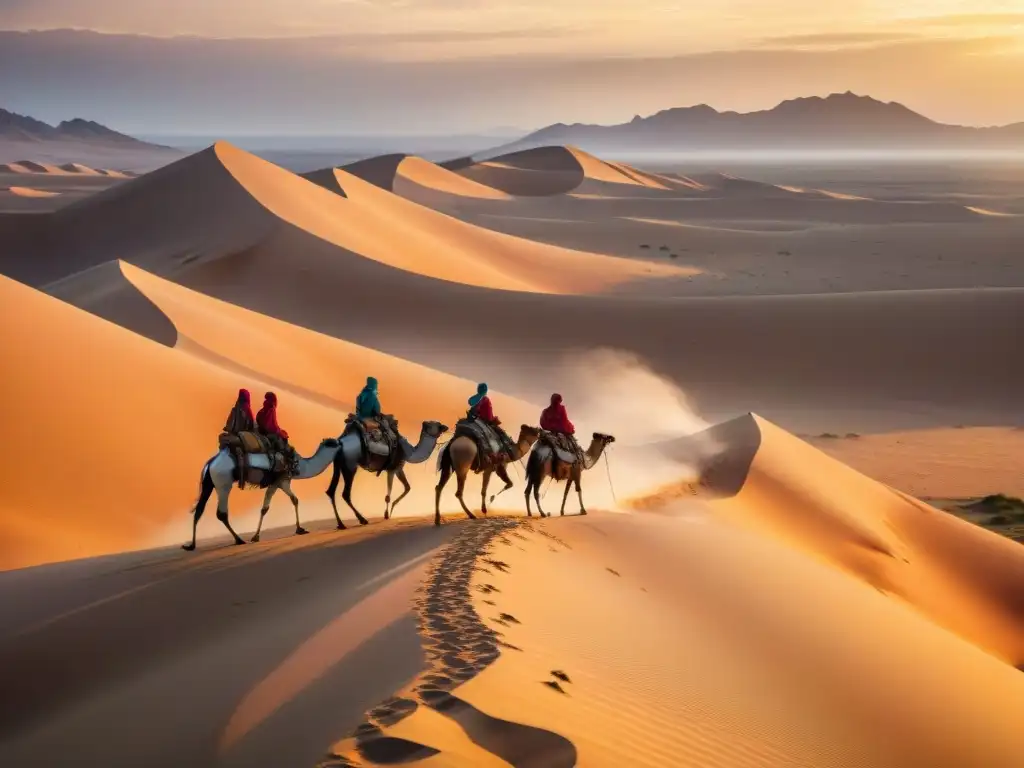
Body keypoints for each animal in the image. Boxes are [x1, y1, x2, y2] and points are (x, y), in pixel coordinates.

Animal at [184, 438, 339, 552]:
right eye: (334, 443)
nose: (342, 443)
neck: (300, 465)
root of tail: (210, 463)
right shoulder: (279, 481)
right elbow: (267, 507)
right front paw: (255, 536)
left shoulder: (282, 483)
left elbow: (293, 500)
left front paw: (300, 529)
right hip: (223, 482)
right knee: (221, 513)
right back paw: (239, 540)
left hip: (209, 483)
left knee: (199, 510)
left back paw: (191, 545)